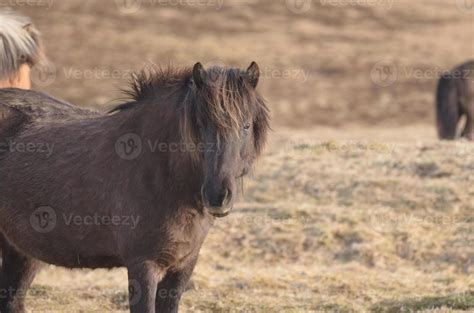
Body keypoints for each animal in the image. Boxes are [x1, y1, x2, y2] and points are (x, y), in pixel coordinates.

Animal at [0, 62, 268, 310]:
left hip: (22, 252)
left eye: (246, 126)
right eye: (200, 124)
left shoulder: (182, 267)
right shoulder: (143, 266)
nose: (217, 196)